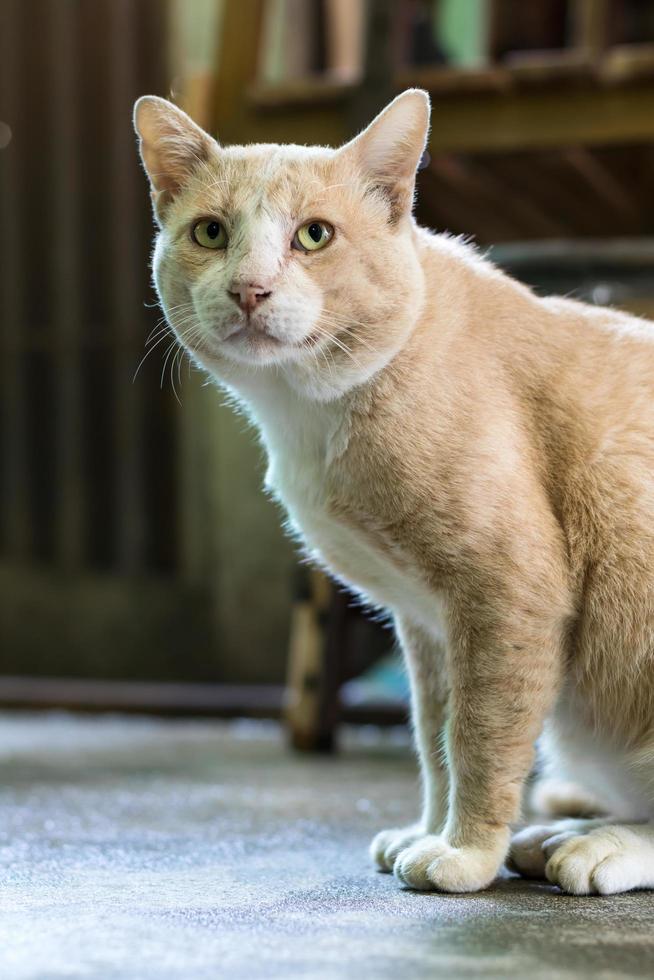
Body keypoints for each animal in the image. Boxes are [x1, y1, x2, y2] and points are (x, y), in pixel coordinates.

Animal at [136, 92, 654, 896]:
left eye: (314, 235)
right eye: (212, 232)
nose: (249, 289)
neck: (309, 415)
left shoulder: (507, 595)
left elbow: (480, 736)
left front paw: (466, 853)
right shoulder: (429, 625)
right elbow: (433, 740)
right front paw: (428, 831)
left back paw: (596, 845)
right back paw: (560, 832)